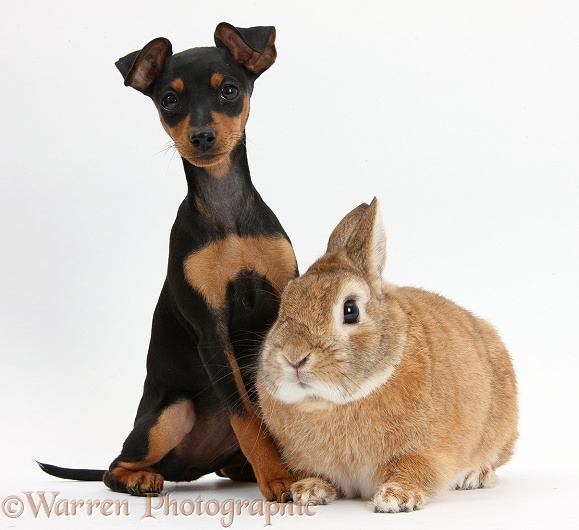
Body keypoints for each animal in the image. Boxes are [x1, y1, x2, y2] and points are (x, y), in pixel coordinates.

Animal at [38, 20, 300, 500]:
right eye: (169, 101)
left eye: (230, 90)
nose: (202, 137)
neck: (228, 218)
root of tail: (188, 468)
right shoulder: (212, 333)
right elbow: (245, 415)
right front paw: (277, 478)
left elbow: (272, 410)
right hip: (170, 414)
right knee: (113, 467)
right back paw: (143, 478)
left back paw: (243, 468)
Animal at [256, 196, 520, 510]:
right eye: (284, 303)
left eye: (350, 310)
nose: (294, 357)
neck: (333, 404)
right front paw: (309, 491)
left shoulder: (425, 451)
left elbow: (413, 471)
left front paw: (396, 498)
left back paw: (474, 475)